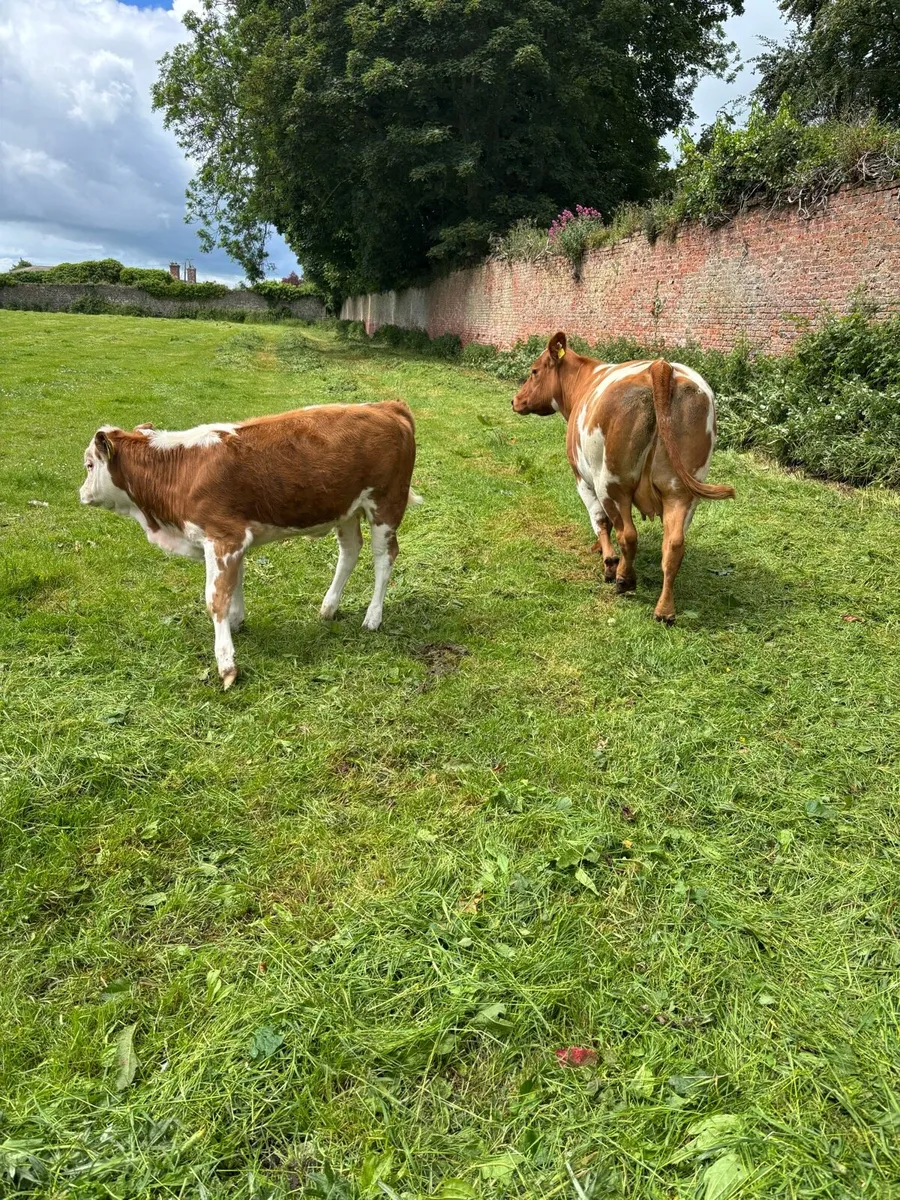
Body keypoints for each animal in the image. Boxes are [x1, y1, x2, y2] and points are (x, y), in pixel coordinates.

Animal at [79, 401, 420, 687]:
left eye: (89, 465)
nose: (81, 494)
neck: (182, 470)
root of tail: (387, 406)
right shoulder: (234, 540)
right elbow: (235, 584)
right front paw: (236, 622)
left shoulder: (223, 537)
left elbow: (216, 598)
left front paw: (226, 664)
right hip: (345, 509)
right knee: (349, 551)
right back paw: (328, 608)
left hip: (386, 504)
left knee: (384, 557)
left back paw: (373, 617)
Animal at [512, 332, 734, 623]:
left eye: (534, 371)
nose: (515, 400)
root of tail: (661, 367)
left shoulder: (583, 479)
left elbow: (599, 521)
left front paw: (608, 561)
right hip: (682, 491)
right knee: (673, 545)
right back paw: (664, 610)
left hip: (612, 483)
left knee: (627, 533)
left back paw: (623, 579)